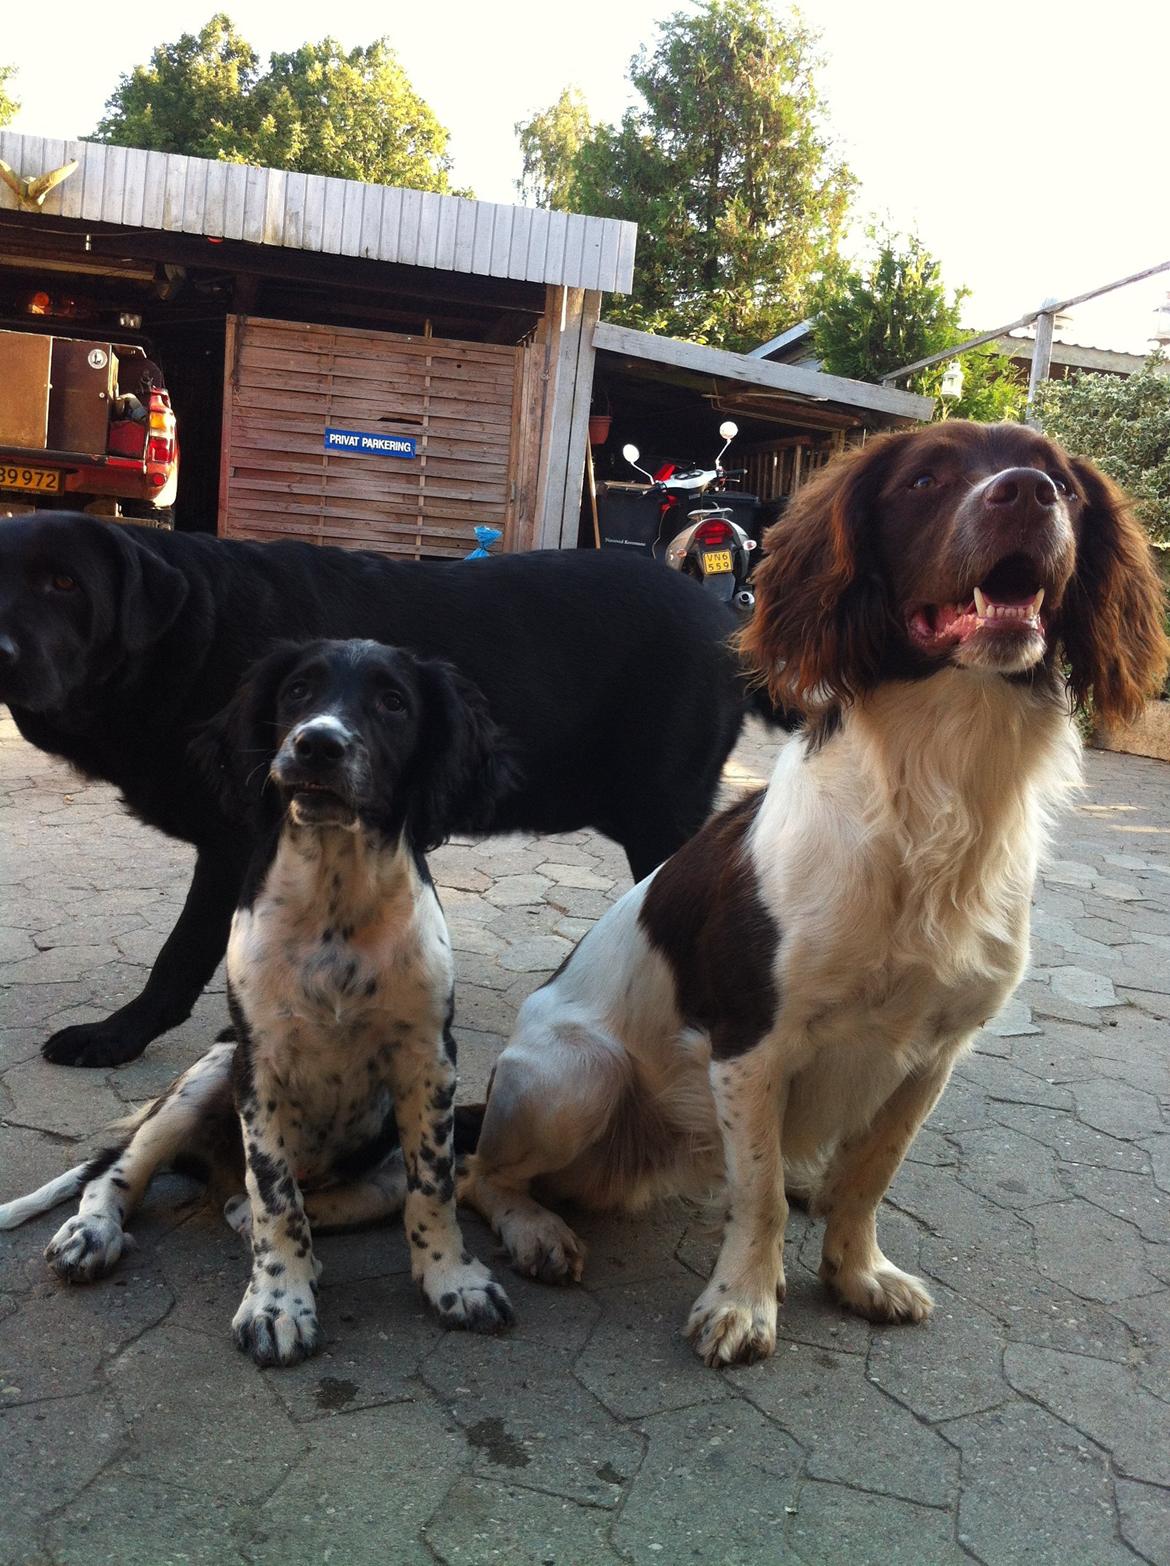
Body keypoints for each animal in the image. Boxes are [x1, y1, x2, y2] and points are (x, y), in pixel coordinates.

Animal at [0, 642, 513, 1365]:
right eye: (297, 692)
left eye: (394, 702)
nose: (318, 744)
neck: (334, 897)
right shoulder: (259, 1064)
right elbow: (275, 1194)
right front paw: (277, 1304)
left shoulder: (429, 1061)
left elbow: (433, 1186)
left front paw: (453, 1279)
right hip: (208, 1074)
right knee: (123, 1170)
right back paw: (92, 1232)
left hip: (373, 1170)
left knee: (247, 1206)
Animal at [2, 513, 761, 1064]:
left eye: (65, 585)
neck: (194, 635)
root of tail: (727, 621)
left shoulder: (235, 843)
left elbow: (181, 951)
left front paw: (118, 1036)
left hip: (660, 814)